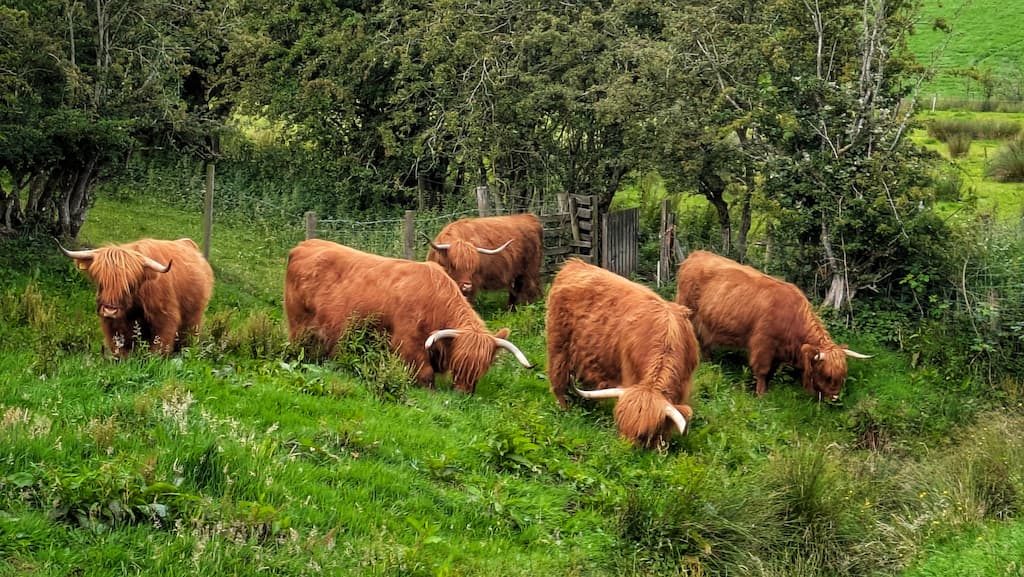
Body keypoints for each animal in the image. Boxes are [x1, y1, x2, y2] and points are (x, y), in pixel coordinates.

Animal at [60, 237, 214, 358]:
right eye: (101, 282)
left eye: (130, 285)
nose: (110, 311)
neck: (134, 307)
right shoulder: (112, 326)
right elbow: (120, 350)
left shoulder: (166, 320)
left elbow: (157, 351)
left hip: (194, 318)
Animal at [284, 239, 532, 394]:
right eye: (458, 362)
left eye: (482, 367)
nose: (463, 393)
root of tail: (304, 245)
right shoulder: (408, 342)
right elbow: (425, 374)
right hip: (298, 323)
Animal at [546, 259, 699, 448]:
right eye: (620, 425)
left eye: (644, 434)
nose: (623, 449)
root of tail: (574, 264)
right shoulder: (630, 373)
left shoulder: (682, 387)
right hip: (558, 346)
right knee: (557, 379)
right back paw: (564, 408)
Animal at [675, 250, 871, 400]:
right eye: (827, 376)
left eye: (842, 376)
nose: (835, 398)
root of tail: (696, 254)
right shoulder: (763, 344)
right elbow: (762, 371)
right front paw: (761, 394)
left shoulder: (778, 351)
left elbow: (772, 371)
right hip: (688, 310)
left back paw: (710, 362)